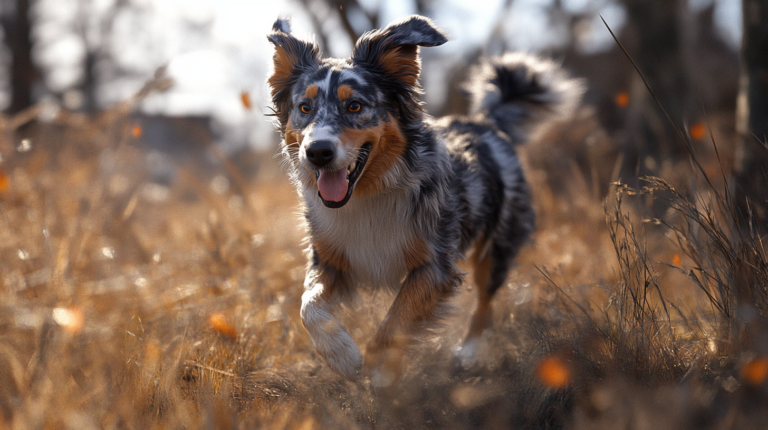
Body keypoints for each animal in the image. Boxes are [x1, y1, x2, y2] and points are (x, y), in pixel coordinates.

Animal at [268, 15, 580, 386]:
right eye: (304, 107)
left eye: (355, 105)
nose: (317, 152)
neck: (368, 195)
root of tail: (484, 122)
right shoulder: (331, 260)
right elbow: (309, 306)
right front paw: (341, 355)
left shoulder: (435, 264)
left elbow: (397, 319)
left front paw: (380, 370)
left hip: (498, 244)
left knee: (485, 302)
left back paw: (467, 353)